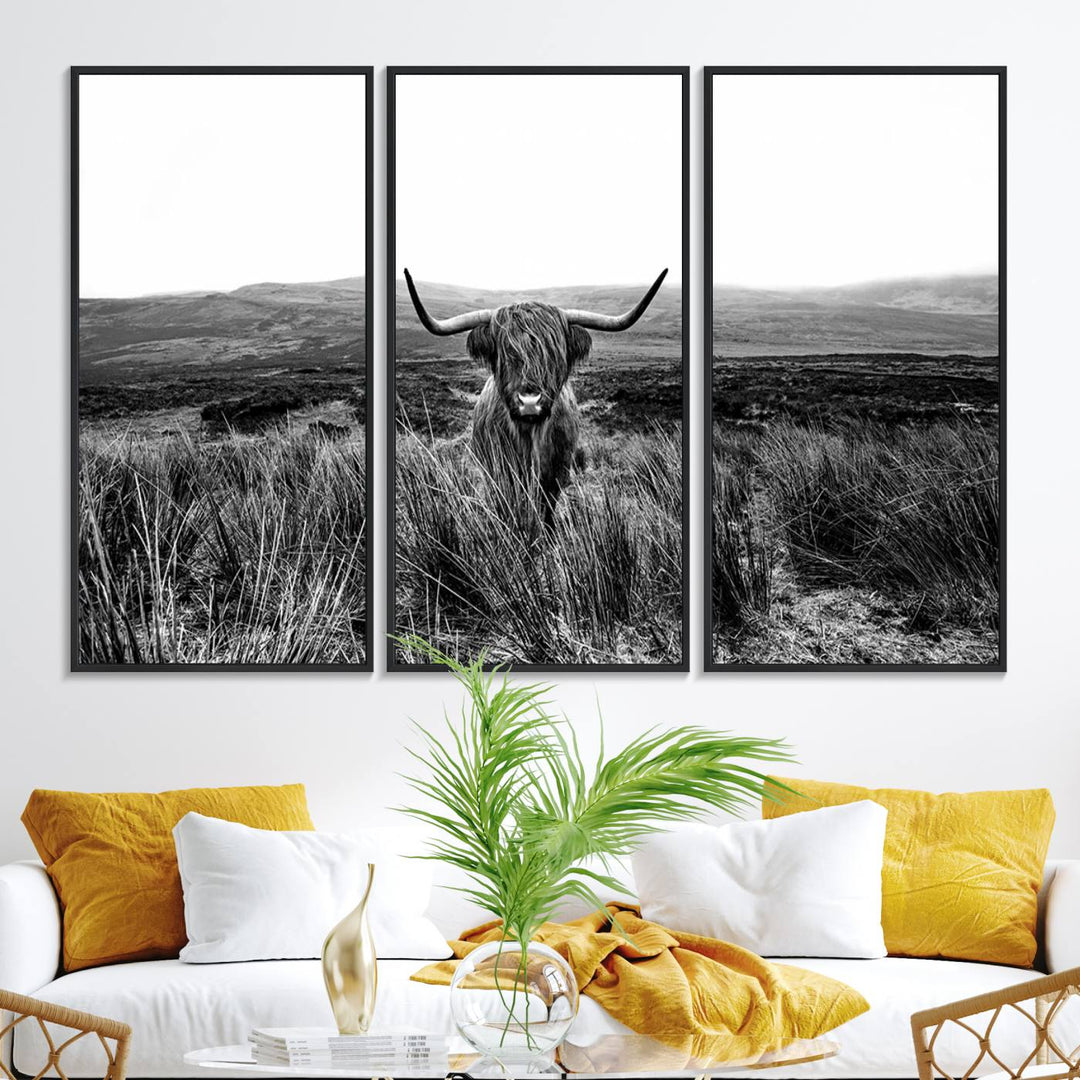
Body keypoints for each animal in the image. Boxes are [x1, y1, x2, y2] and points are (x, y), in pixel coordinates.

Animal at [406, 267, 665, 524]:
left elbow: (546, 509)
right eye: (505, 354)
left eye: (553, 354)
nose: (529, 402)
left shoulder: (556, 474)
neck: (529, 437)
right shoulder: (499, 473)